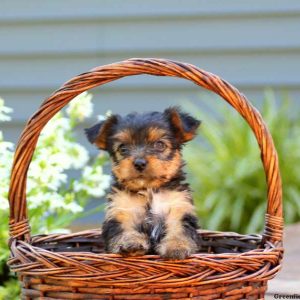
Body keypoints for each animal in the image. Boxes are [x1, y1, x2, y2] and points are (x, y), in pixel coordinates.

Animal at [84, 106, 202, 258]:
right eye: (123, 148)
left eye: (159, 145)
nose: (139, 163)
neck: (148, 189)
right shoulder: (121, 212)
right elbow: (125, 230)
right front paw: (131, 243)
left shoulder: (179, 208)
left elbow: (179, 230)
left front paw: (177, 247)